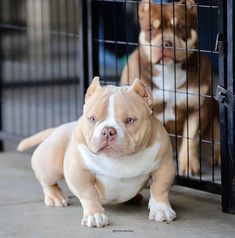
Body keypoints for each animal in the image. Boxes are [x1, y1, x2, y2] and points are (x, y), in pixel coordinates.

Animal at [17, 77, 176, 228]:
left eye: (130, 120)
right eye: (92, 118)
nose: (108, 131)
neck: (119, 159)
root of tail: (59, 128)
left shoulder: (165, 166)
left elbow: (160, 188)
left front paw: (161, 209)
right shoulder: (79, 172)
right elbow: (89, 194)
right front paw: (94, 215)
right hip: (50, 163)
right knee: (46, 180)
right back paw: (55, 196)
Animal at [121, 0, 220, 175]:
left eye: (181, 27)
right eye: (150, 28)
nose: (166, 44)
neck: (168, 71)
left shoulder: (197, 109)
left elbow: (191, 138)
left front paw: (188, 164)